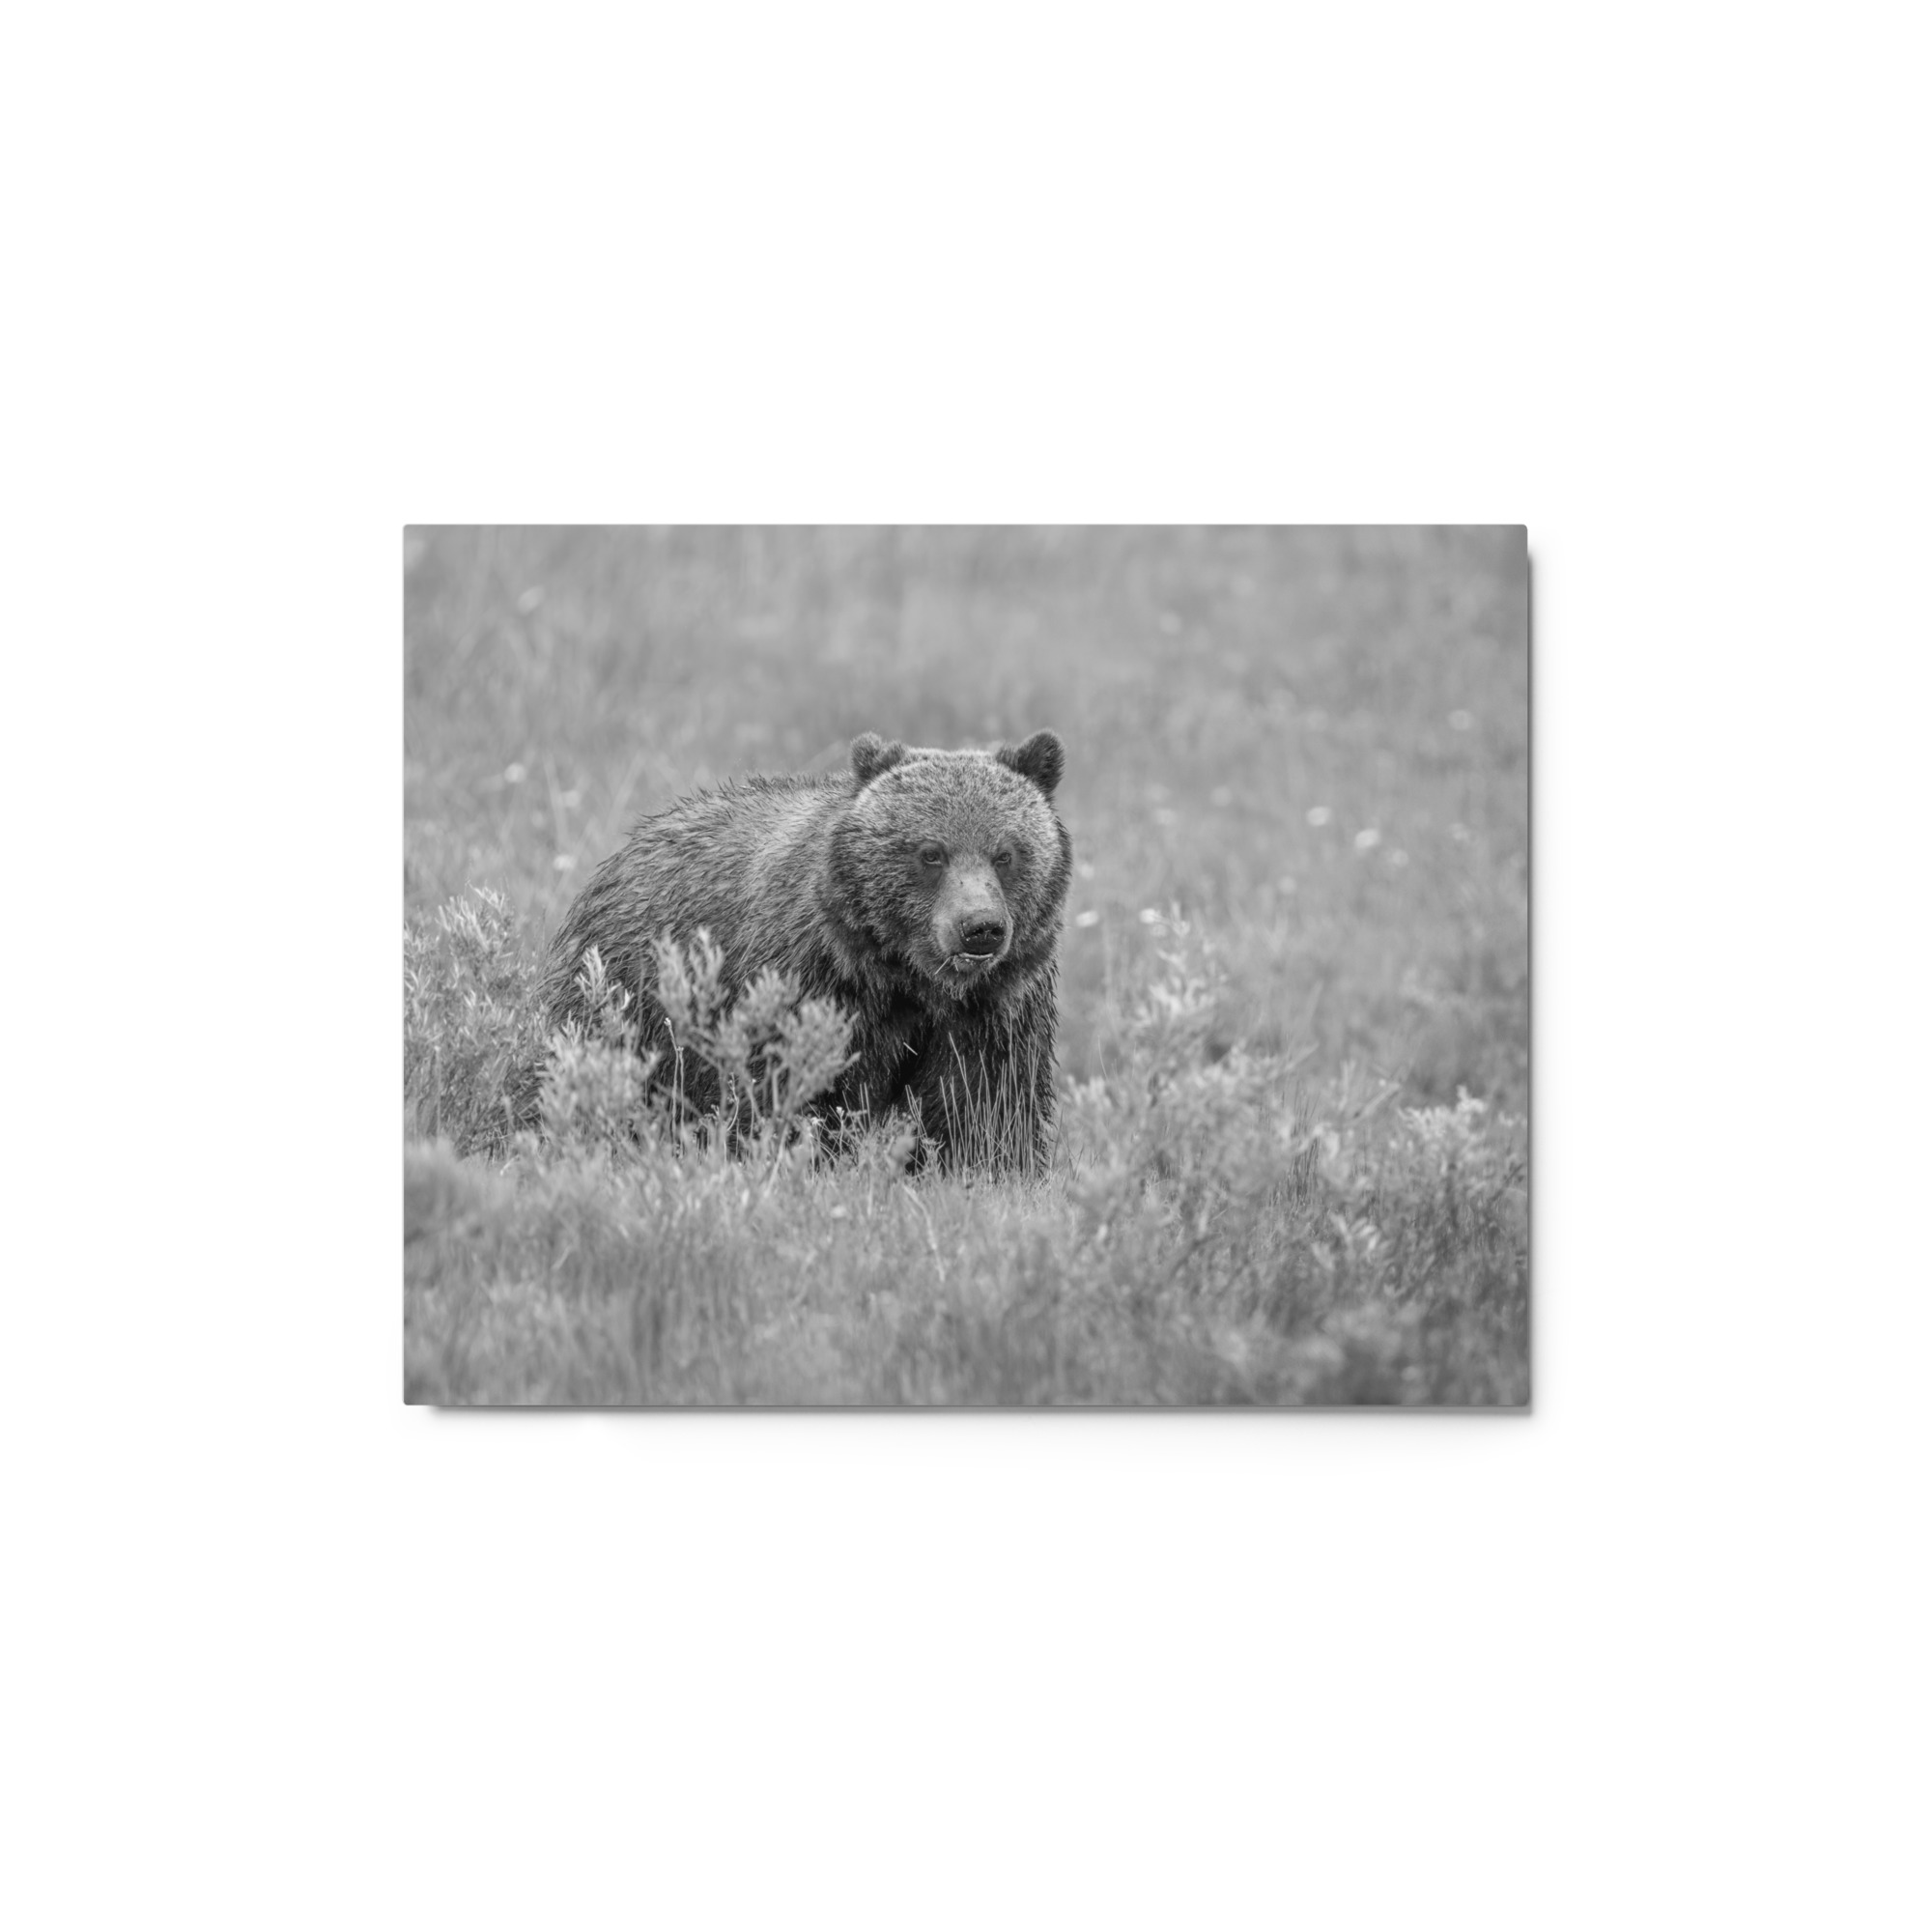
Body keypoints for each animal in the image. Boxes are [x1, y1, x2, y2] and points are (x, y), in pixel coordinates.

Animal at [540, 729, 1072, 1172]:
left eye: (1005, 853)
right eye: (931, 852)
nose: (980, 928)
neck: (908, 978)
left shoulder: (995, 1008)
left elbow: (986, 1106)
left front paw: (988, 1170)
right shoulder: (811, 982)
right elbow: (793, 1090)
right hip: (629, 995)